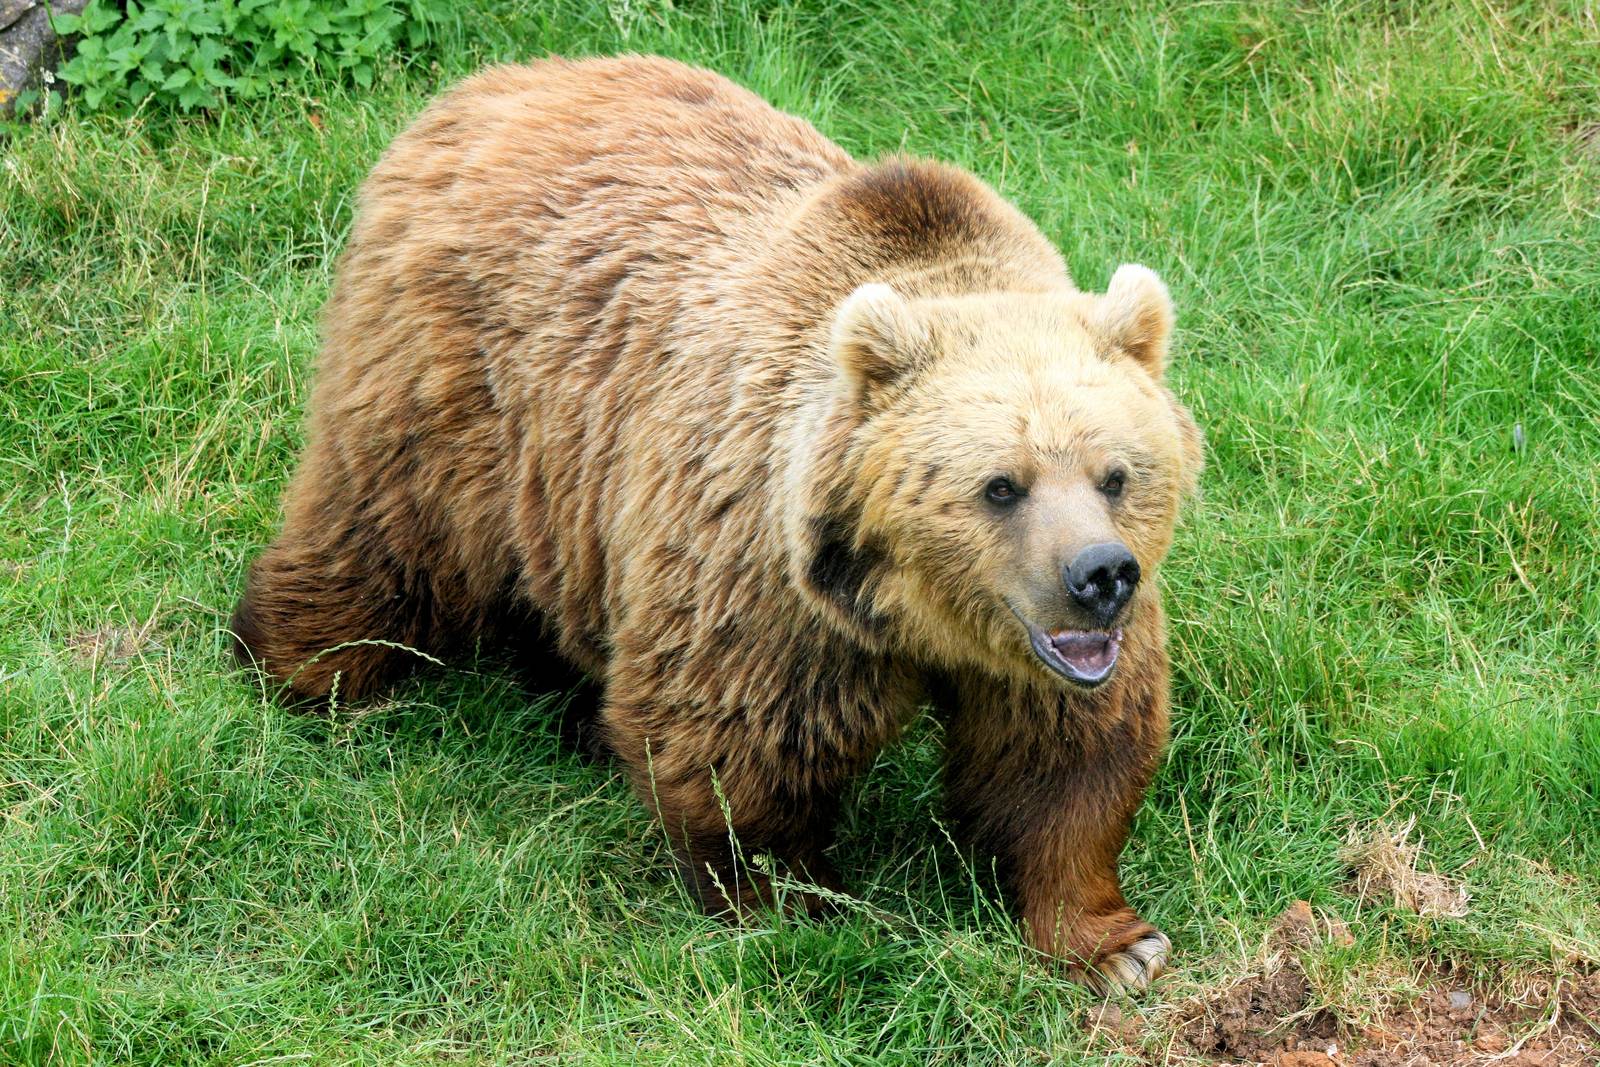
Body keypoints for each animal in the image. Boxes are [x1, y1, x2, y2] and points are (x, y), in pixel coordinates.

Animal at [232, 55, 1204, 992]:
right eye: (1000, 485)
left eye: (1117, 474)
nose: (1099, 574)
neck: (912, 613)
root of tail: (485, 88)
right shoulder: (765, 575)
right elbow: (740, 744)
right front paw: (794, 902)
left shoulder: (1044, 652)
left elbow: (1065, 762)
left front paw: (1115, 945)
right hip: (456, 391)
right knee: (384, 535)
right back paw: (303, 669)